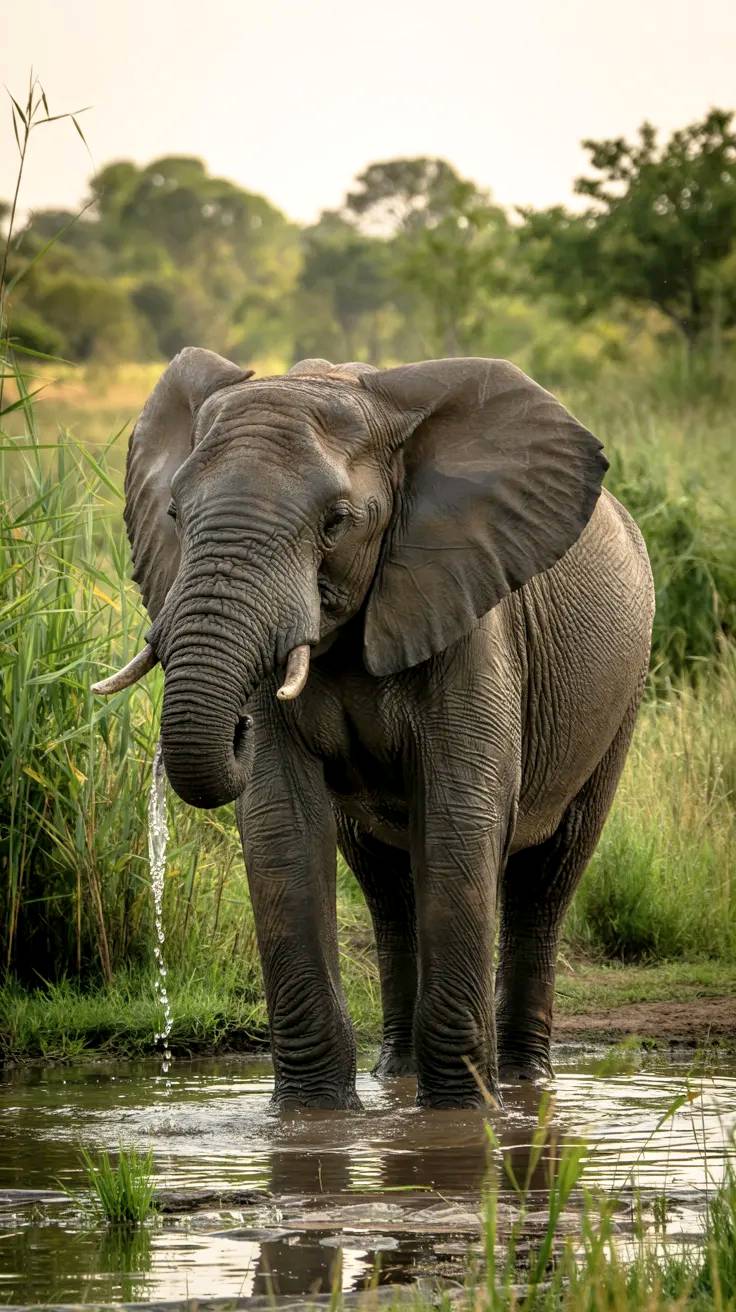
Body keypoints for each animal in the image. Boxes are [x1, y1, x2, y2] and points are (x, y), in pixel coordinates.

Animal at [94, 349, 654, 1111]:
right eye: (177, 514)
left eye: (336, 522)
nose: (236, 727)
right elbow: (282, 822)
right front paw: (311, 1118)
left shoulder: (469, 612)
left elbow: (461, 818)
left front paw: (461, 1118)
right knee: (388, 888)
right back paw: (396, 1076)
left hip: (623, 689)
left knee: (549, 879)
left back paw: (524, 1087)